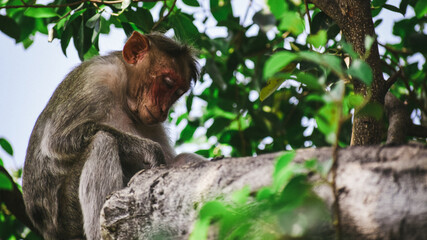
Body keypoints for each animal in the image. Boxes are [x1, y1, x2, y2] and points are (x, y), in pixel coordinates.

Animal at [22, 31, 206, 240]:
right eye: (167, 83)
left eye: (178, 92)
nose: (163, 111)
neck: (124, 90)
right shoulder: (97, 77)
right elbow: (57, 140)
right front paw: (147, 149)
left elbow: (169, 161)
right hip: (68, 220)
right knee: (103, 140)